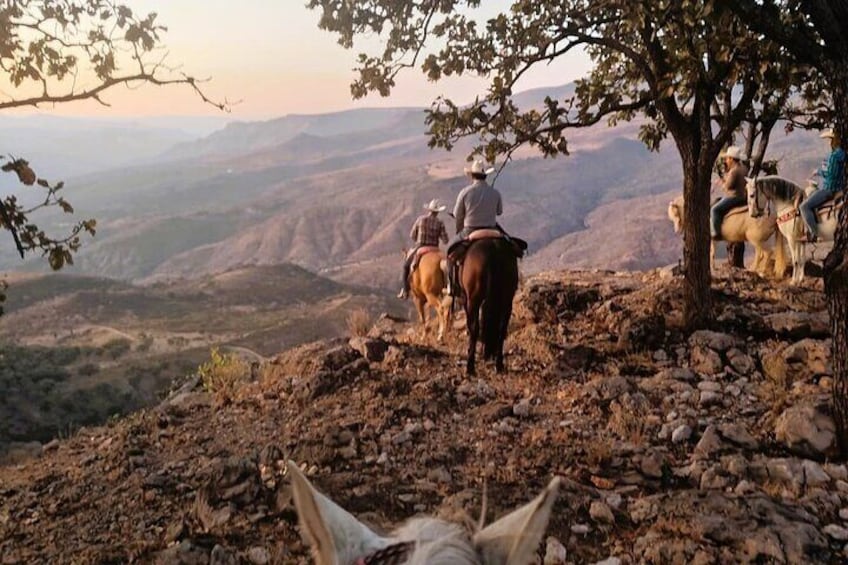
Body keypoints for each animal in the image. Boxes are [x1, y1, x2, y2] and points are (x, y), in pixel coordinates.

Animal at [460, 234, 520, 374]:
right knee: (501, 329)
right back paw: (499, 364)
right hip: (507, 299)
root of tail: (494, 251)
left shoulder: (466, 298)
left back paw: (470, 367)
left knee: (475, 328)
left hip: (474, 299)